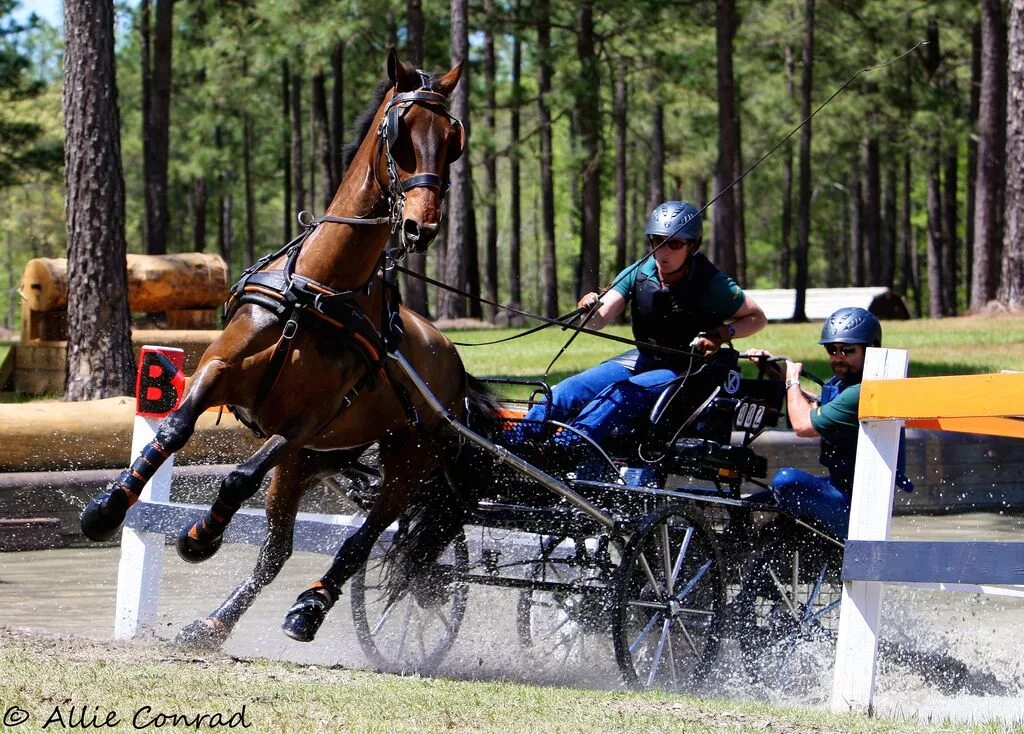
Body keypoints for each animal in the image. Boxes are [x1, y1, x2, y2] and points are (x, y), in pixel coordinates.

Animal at [79, 50, 487, 646]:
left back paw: (308, 608)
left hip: (404, 459)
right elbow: (175, 427)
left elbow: (241, 475)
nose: (422, 225)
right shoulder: (222, 367)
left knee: (361, 539)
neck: (315, 292)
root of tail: (456, 369)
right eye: (400, 134)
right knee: (277, 550)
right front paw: (107, 508)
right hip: (319, 458)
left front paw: (200, 536)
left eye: (452, 139)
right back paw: (214, 624)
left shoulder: (304, 421)